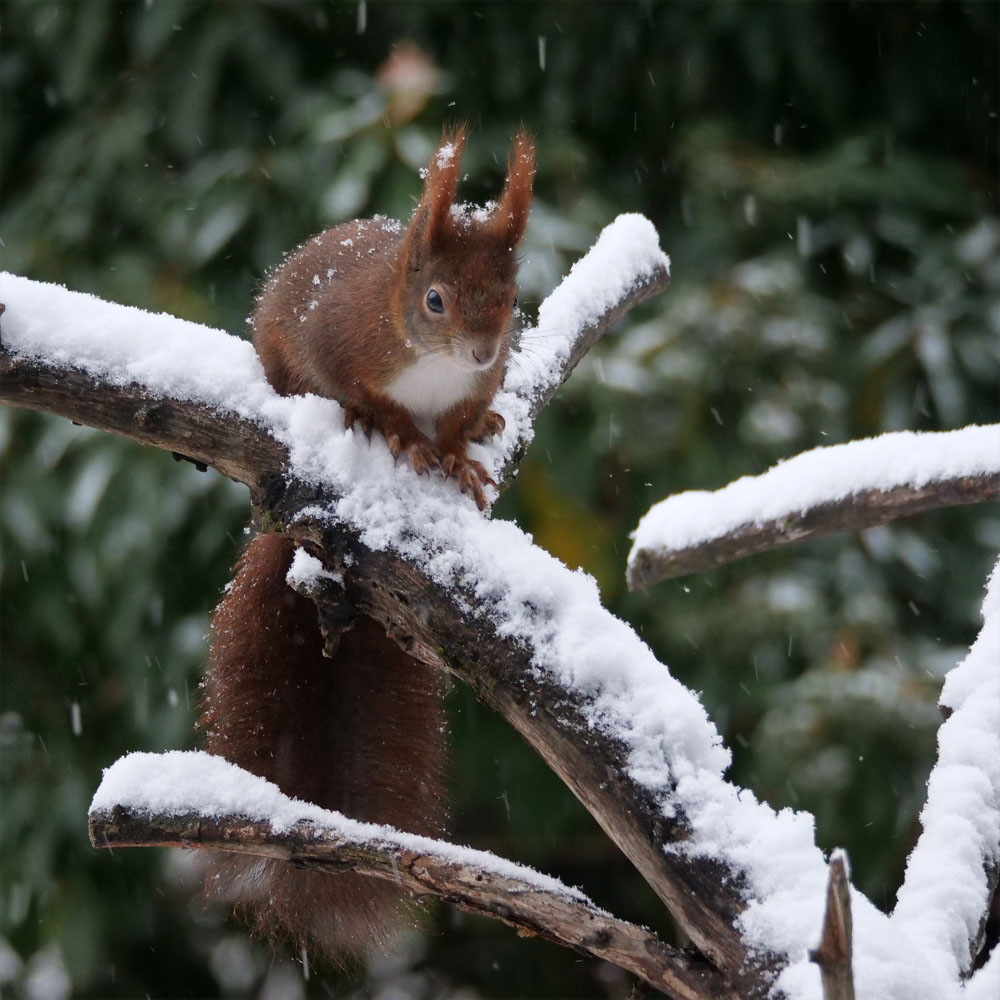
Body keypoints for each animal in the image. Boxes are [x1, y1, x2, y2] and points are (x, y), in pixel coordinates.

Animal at [199, 125, 536, 960]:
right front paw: (395, 433)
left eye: (511, 299)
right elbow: (369, 396)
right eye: (435, 300)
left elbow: (457, 422)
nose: (483, 353)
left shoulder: (469, 388)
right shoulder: (342, 339)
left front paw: (456, 452)